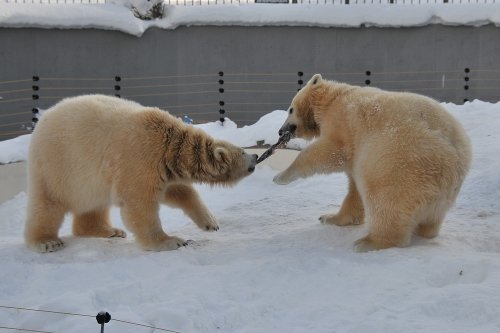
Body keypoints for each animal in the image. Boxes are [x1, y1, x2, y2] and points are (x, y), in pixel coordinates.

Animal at [24, 94, 256, 253]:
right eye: (244, 151)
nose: (255, 157)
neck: (169, 143)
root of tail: (43, 120)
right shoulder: (141, 158)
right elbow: (139, 203)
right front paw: (171, 241)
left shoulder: (163, 166)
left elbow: (178, 192)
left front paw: (210, 223)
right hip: (57, 164)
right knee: (48, 203)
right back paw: (47, 241)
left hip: (88, 177)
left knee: (95, 203)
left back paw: (109, 231)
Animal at [276, 74, 470, 250]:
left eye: (290, 110)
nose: (280, 131)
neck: (332, 98)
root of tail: (454, 159)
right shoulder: (356, 150)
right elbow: (354, 187)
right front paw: (330, 218)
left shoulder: (342, 123)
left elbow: (331, 151)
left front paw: (280, 177)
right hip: (442, 192)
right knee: (431, 220)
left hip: (399, 162)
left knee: (384, 199)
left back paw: (368, 242)